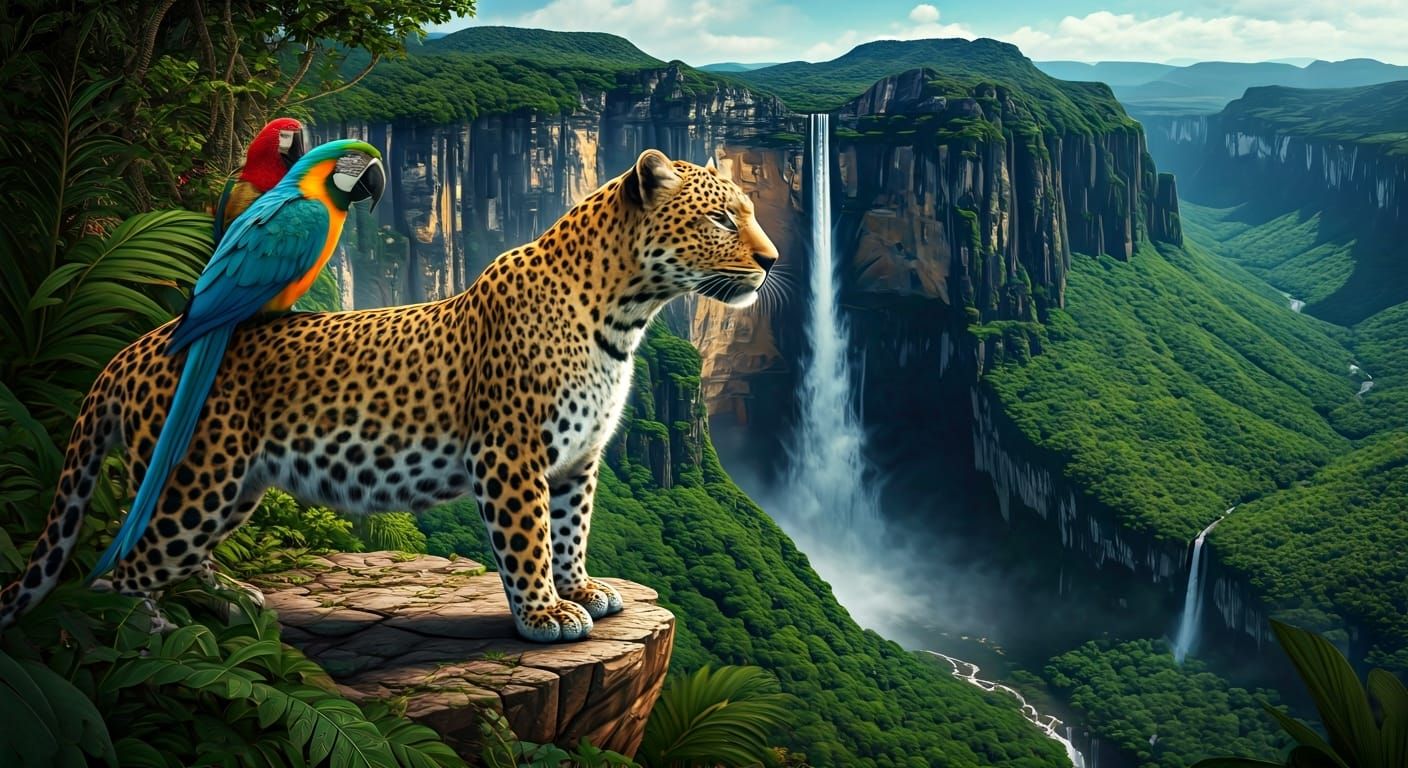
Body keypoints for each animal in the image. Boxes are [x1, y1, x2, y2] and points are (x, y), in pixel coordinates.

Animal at [0, 149, 778, 642]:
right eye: (719, 220)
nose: (772, 261)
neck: (624, 313)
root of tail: (133, 350)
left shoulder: (577, 460)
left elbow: (571, 529)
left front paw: (580, 589)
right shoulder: (510, 455)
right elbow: (527, 539)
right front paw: (544, 616)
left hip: (230, 490)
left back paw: (225, 598)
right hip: (193, 482)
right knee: (114, 576)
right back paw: (151, 632)